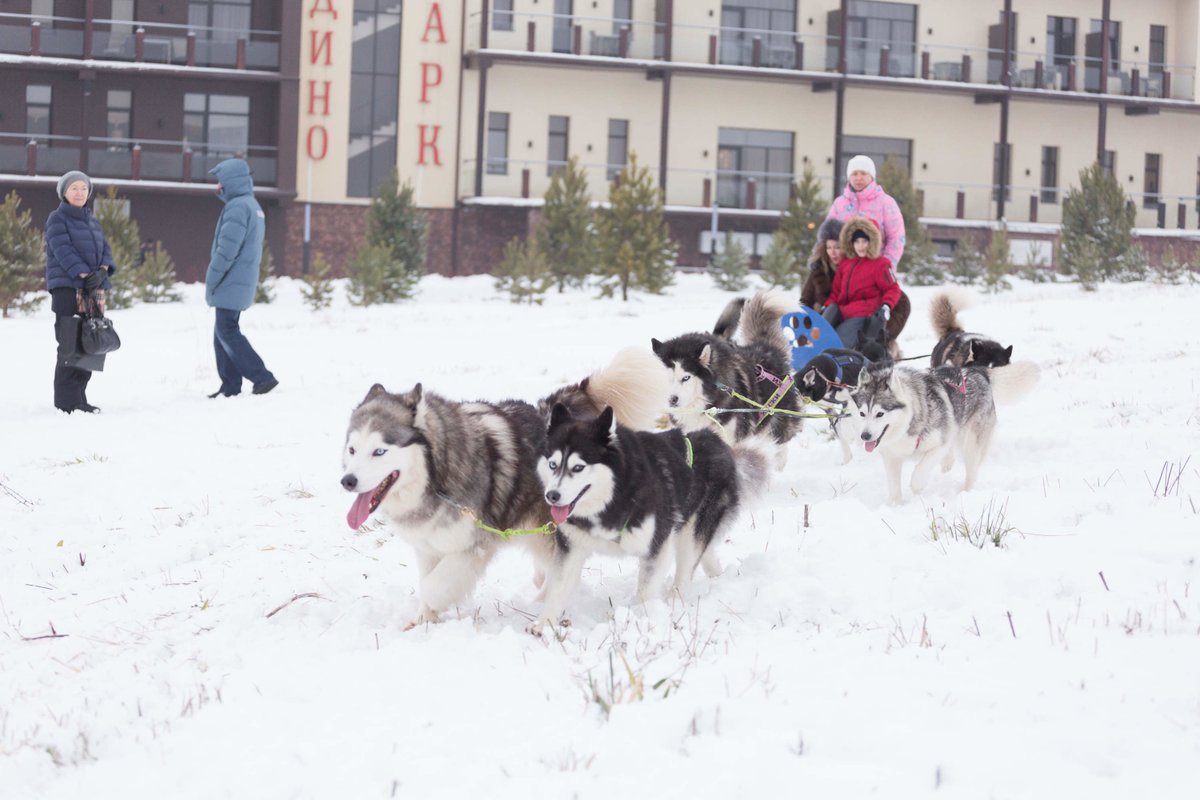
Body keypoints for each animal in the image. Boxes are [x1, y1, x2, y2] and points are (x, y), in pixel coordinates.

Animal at [343, 347, 672, 628]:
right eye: (352, 450)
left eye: (379, 451)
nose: (347, 481)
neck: (436, 477)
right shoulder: (428, 546)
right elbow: (429, 578)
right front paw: (425, 619)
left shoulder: (473, 547)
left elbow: (433, 585)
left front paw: (430, 603)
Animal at [532, 402, 772, 633]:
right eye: (553, 464)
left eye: (578, 467)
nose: (552, 496)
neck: (614, 497)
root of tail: (718, 442)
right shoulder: (571, 546)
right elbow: (558, 586)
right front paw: (544, 623)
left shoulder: (657, 547)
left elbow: (646, 591)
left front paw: (640, 621)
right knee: (705, 554)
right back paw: (716, 574)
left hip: (690, 532)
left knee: (686, 569)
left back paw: (674, 601)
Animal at [854, 362, 1041, 503]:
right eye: (862, 414)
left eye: (880, 414)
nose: (865, 436)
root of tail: (978, 370)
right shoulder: (891, 456)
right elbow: (894, 487)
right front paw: (895, 506)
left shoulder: (939, 445)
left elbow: (920, 469)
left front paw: (917, 486)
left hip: (970, 445)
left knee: (972, 472)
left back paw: (964, 493)